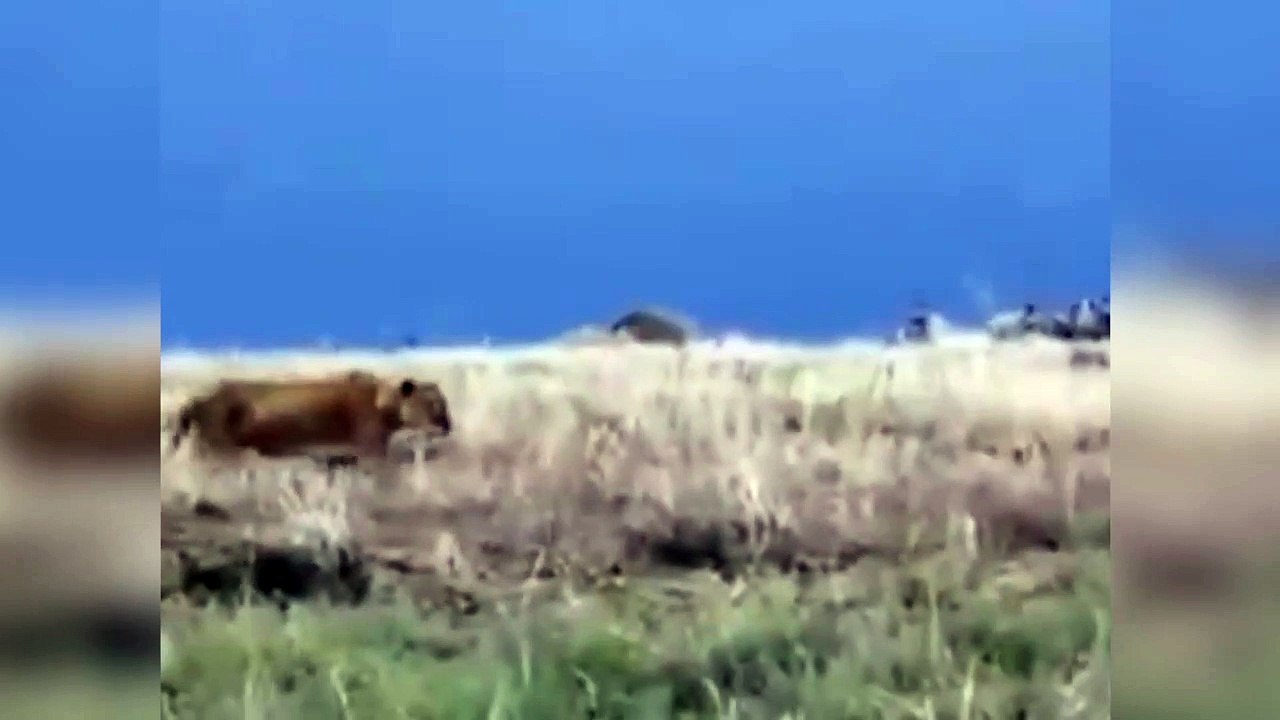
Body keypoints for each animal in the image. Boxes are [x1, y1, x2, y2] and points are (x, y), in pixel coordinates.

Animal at [169, 370, 453, 466]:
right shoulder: (372, 450)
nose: (448, 426)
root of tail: (201, 398)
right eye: (434, 404)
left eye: (444, 402)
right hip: (218, 450)